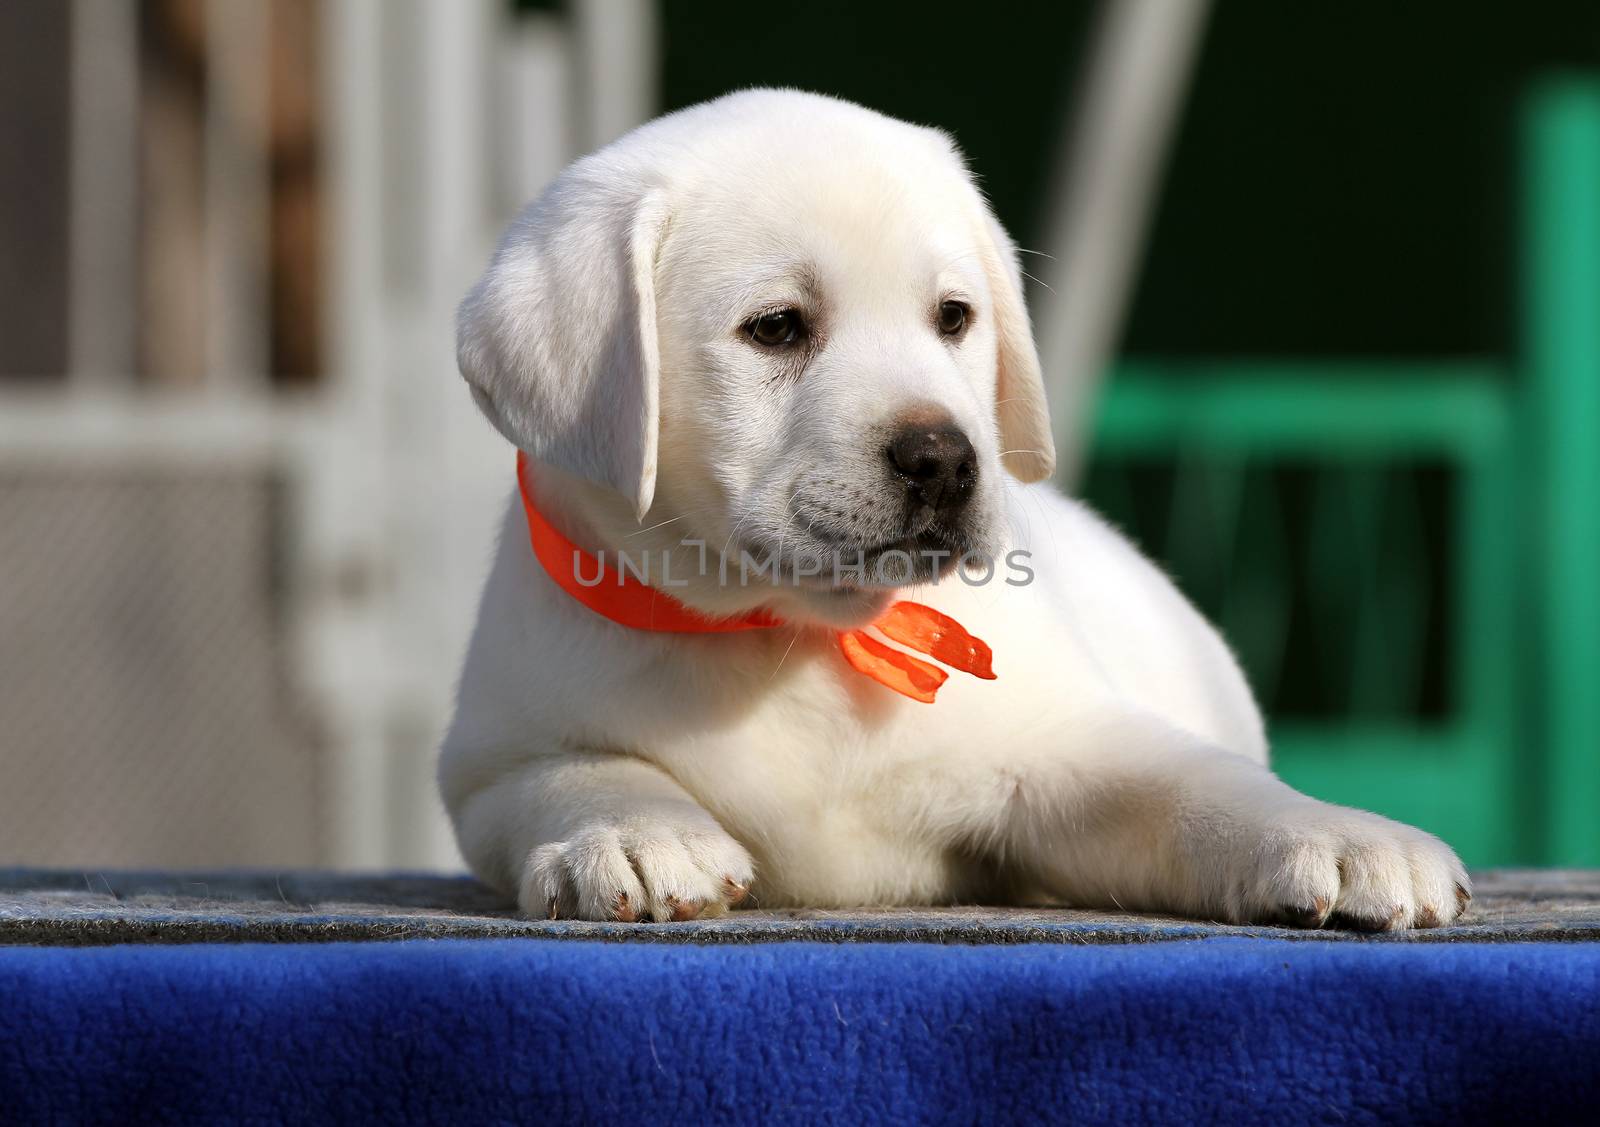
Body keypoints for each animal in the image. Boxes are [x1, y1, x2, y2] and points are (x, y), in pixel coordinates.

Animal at [435, 90, 1465, 922]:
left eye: (954, 318)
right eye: (776, 328)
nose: (944, 459)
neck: (795, 638)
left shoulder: (1069, 748)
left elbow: (1198, 788)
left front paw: (1344, 835)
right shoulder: (490, 765)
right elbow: (579, 771)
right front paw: (635, 832)